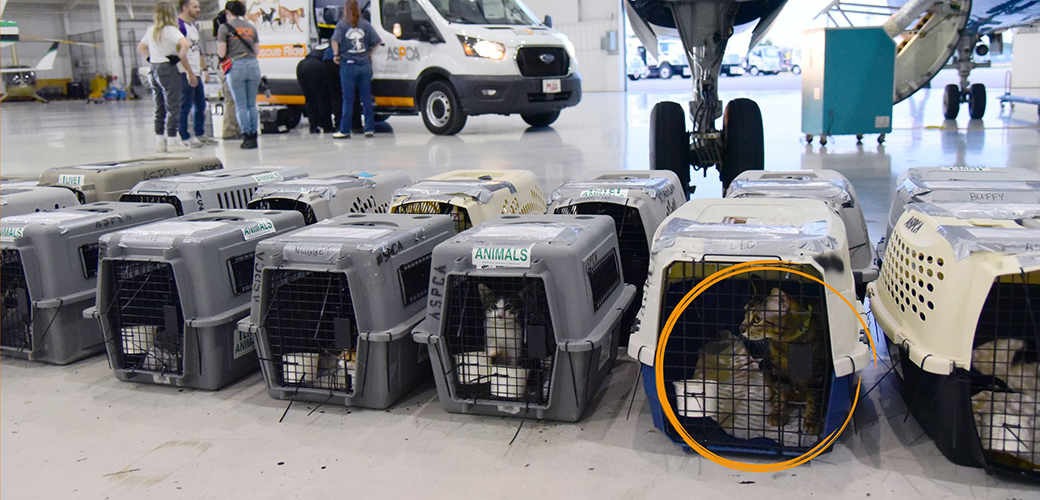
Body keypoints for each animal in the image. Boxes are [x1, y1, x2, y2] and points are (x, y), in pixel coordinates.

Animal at [413, 214, 632, 419]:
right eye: (493, 306)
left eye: (509, 306)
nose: (500, 315)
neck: (503, 332)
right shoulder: (490, 335)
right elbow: (491, 349)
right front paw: (492, 354)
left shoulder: (516, 349)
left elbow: (513, 364)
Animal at [740, 286, 827, 434]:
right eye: (745, 312)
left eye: (757, 319)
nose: (741, 328)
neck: (786, 346)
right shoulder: (778, 371)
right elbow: (780, 394)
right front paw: (778, 414)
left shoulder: (817, 375)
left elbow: (814, 400)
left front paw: (811, 421)